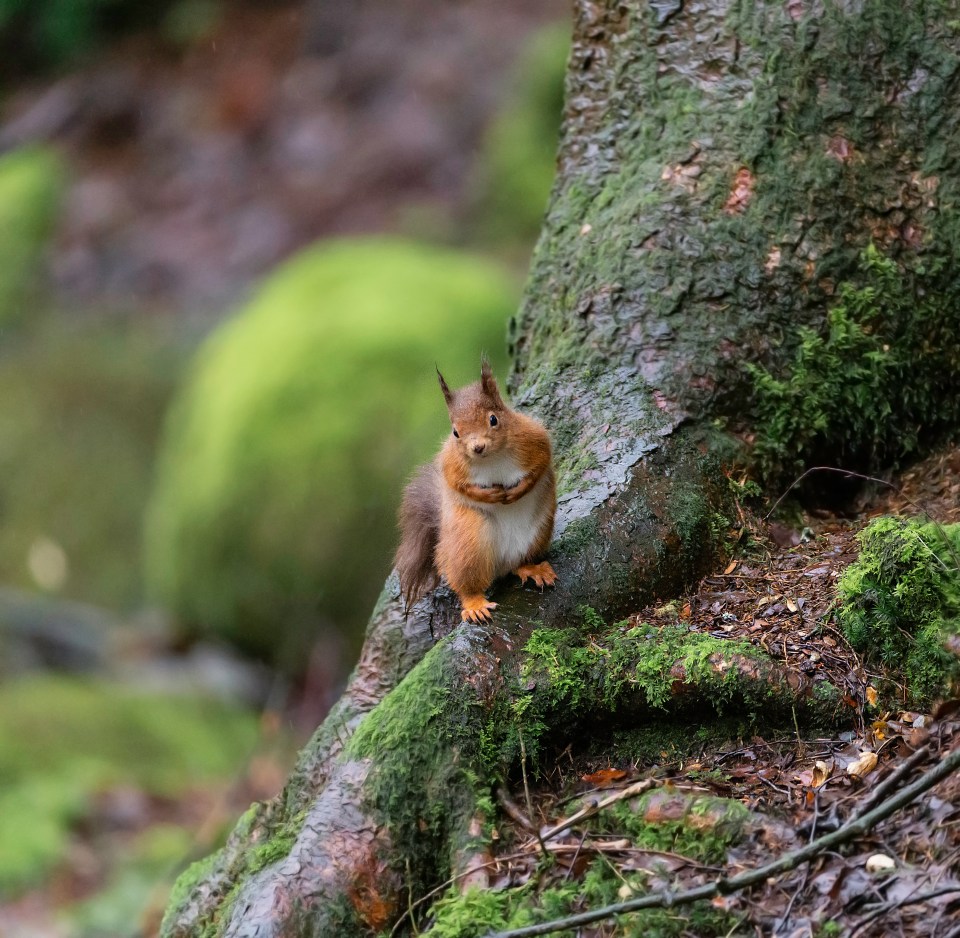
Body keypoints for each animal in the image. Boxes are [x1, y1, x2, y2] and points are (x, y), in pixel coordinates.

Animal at [396, 360, 560, 620]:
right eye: (455, 432)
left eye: (493, 419)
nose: (478, 447)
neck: (492, 458)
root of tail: (501, 565)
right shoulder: (452, 462)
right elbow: (456, 483)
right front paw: (489, 495)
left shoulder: (533, 436)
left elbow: (542, 461)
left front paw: (520, 490)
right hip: (468, 543)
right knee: (467, 584)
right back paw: (475, 604)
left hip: (539, 532)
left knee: (519, 563)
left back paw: (533, 569)